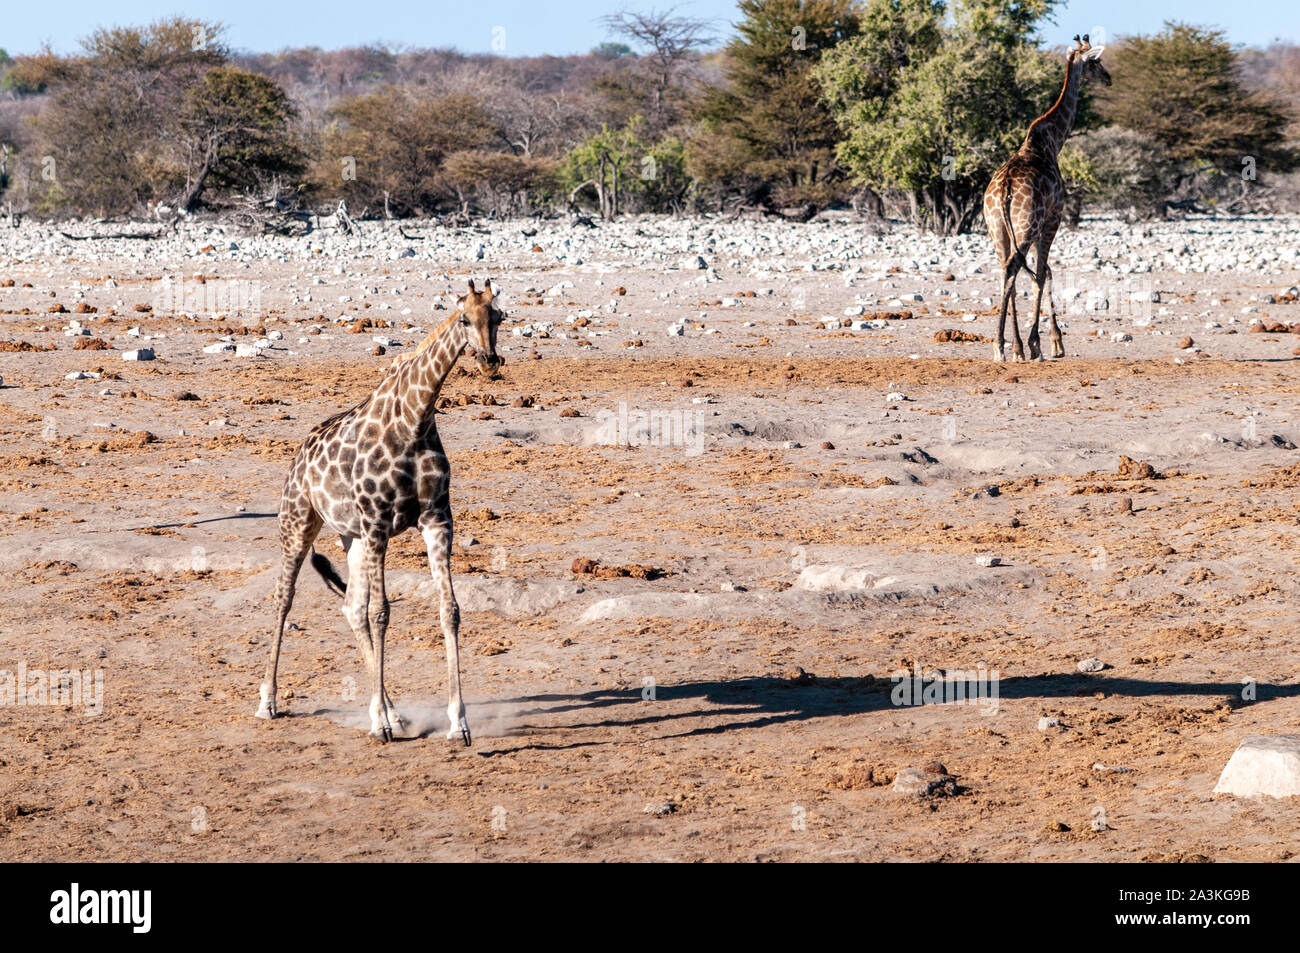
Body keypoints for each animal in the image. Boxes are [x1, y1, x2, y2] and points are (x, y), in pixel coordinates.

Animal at [256, 278, 504, 748]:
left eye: (498, 316)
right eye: (464, 318)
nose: (490, 361)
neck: (415, 421)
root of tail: (299, 453)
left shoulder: (436, 520)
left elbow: (449, 610)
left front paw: (458, 723)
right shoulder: (377, 525)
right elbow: (382, 613)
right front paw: (382, 727)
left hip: (349, 537)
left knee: (351, 608)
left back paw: (391, 711)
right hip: (298, 523)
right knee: (284, 598)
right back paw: (269, 702)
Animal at [977, 33, 1112, 361]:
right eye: (1096, 61)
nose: (1108, 78)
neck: (1051, 141)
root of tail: (1003, 190)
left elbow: (1041, 273)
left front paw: (1042, 342)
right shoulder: (1054, 217)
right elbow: (1042, 273)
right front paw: (1045, 343)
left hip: (997, 229)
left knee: (1006, 271)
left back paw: (1006, 347)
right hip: (1027, 226)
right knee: (1016, 269)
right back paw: (1008, 347)